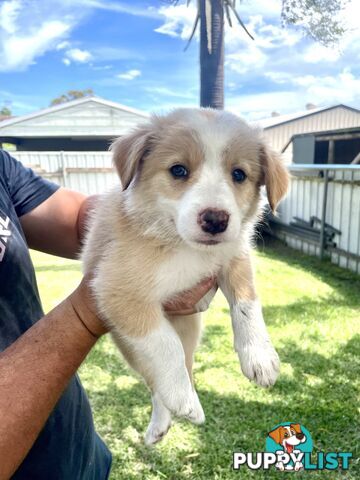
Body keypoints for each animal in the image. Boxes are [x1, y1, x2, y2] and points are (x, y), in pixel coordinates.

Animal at [80, 107, 288, 444]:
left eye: (239, 174)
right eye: (178, 170)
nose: (216, 220)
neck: (186, 248)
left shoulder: (235, 256)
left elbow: (247, 304)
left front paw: (259, 356)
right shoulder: (118, 291)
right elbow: (165, 344)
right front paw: (180, 396)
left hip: (190, 329)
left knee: (186, 364)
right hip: (129, 346)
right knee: (155, 380)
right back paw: (168, 414)